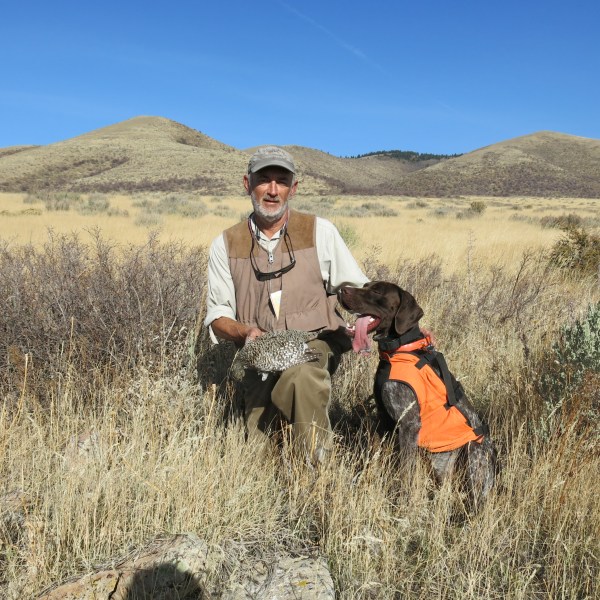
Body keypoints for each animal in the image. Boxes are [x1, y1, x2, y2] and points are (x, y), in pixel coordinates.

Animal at [338, 281, 496, 510]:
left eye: (377, 291)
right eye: (365, 285)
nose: (341, 289)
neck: (399, 349)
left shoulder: (409, 424)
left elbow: (406, 470)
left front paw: (402, 500)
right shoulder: (386, 420)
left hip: (471, 454)